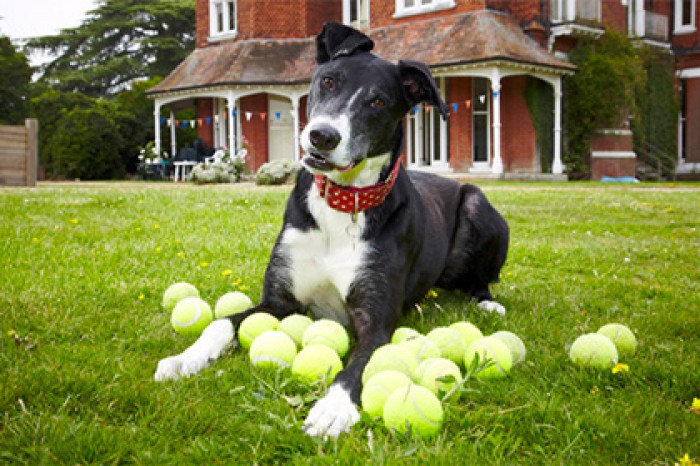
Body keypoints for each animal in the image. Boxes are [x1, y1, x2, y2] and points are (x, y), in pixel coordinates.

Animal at [154, 20, 508, 436]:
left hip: (477, 204)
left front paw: (333, 407)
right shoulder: (279, 300)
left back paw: (488, 302)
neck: (342, 205)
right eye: (328, 81)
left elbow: (363, 364)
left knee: (481, 278)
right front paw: (185, 358)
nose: (322, 136)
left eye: (378, 102)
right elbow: (221, 323)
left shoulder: (376, 321)